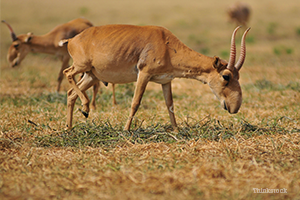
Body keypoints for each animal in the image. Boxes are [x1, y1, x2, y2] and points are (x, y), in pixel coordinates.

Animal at [62, 24, 251, 130]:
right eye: (226, 76)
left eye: (238, 75)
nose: (234, 106)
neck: (166, 43)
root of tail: (72, 40)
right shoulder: (144, 74)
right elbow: (135, 102)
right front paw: (126, 130)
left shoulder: (166, 81)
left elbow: (170, 105)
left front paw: (176, 130)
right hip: (82, 67)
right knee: (67, 73)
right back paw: (85, 108)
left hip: (91, 76)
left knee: (70, 94)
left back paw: (70, 127)